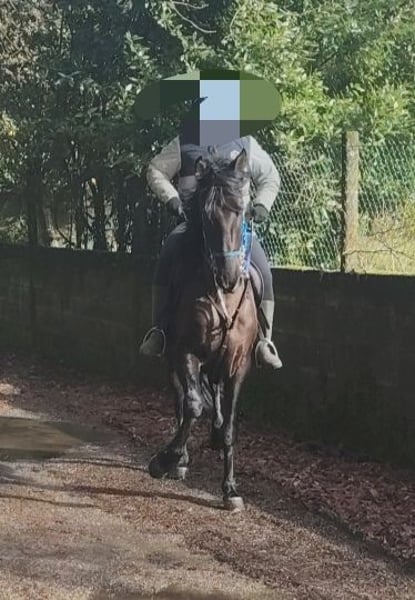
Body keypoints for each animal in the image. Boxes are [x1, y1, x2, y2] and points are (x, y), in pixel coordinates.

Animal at [148, 148, 260, 511]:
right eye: (207, 215)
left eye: (241, 211)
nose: (229, 275)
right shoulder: (186, 352)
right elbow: (192, 406)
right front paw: (166, 460)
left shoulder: (239, 364)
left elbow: (231, 427)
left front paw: (231, 489)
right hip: (172, 357)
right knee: (182, 399)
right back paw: (179, 459)